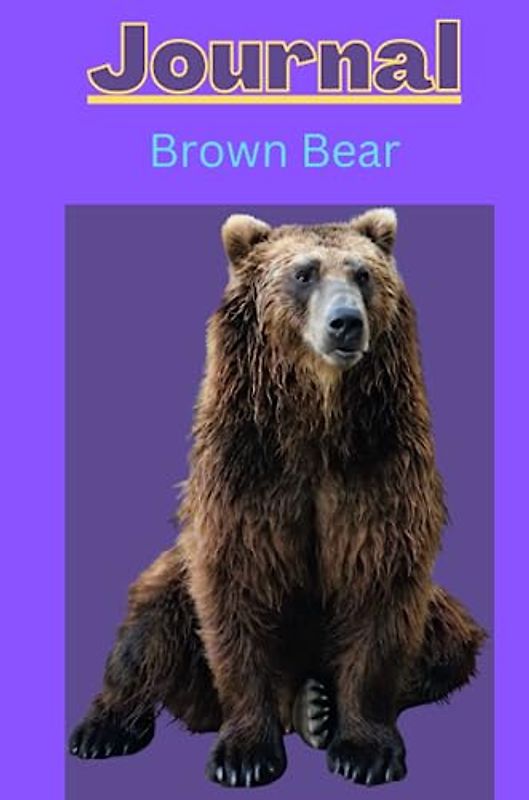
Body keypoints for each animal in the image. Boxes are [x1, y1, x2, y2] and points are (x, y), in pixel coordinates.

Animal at [69, 208, 486, 788]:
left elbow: (379, 587)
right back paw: (103, 729)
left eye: (362, 274)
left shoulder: (379, 466)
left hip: (442, 617)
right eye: (304, 273)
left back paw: (315, 708)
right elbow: (238, 591)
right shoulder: (247, 473)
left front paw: (365, 751)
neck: (317, 423)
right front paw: (245, 756)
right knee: (146, 630)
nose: (346, 323)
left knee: (449, 646)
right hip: (174, 581)